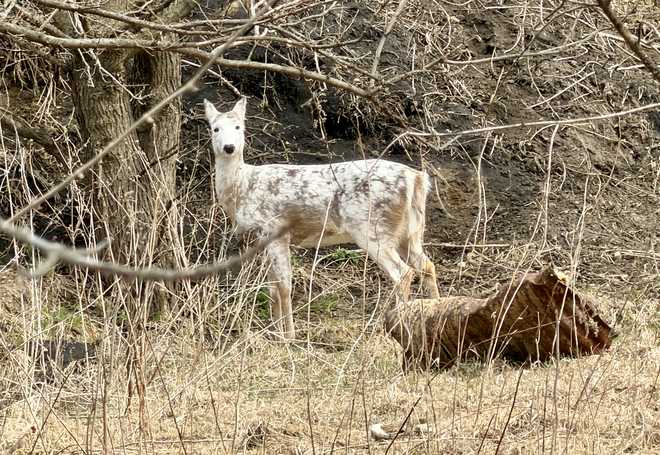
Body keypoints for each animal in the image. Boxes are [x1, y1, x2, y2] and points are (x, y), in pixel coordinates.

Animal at [204, 97, 440, 339]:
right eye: (215, 128)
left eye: (238, 127)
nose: (229, 148)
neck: (243, 187)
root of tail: (416, 178)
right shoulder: (262, 238)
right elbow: (272, 287)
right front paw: (276, 332)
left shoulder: (276, 229)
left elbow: (285, 285)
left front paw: (289, 336)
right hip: (409, 231)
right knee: (427, 266)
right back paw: (436, 314)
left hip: (373, 229)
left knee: (403, 273)